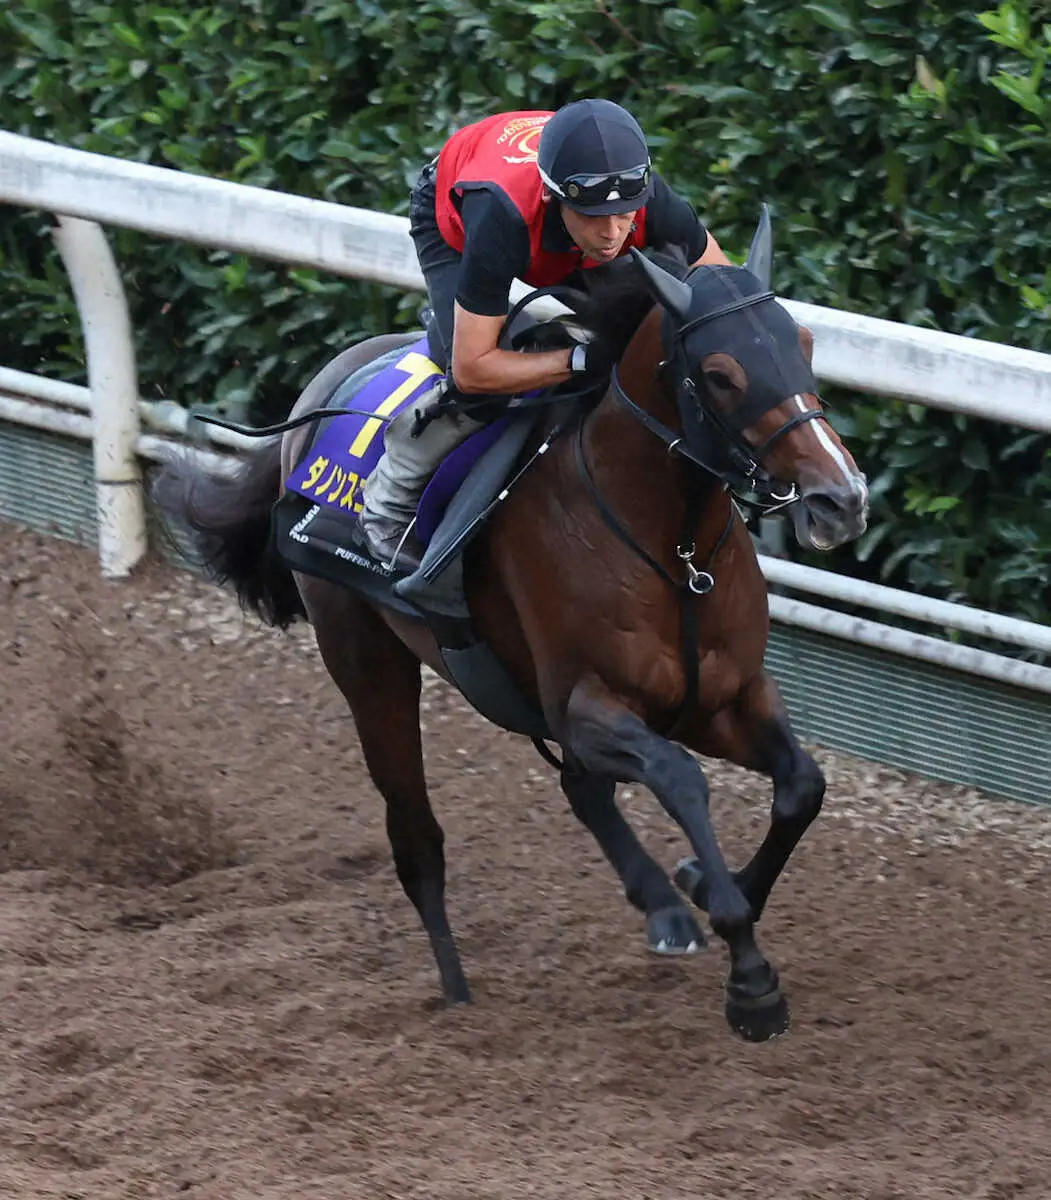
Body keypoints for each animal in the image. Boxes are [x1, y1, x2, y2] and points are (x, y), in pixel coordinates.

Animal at [151, 223, 868, 1041]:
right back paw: (458, 992)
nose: (841, 497)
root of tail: (325, 381)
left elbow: (802, 785)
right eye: (719, 374)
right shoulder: (586, 706)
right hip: (366, 661)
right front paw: (748, 974)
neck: (673, 549)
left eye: (803, 342)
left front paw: (700, 885)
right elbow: (680, 778)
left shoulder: (723, 698)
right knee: (416, 838)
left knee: (579, 789)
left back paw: (658, 905)